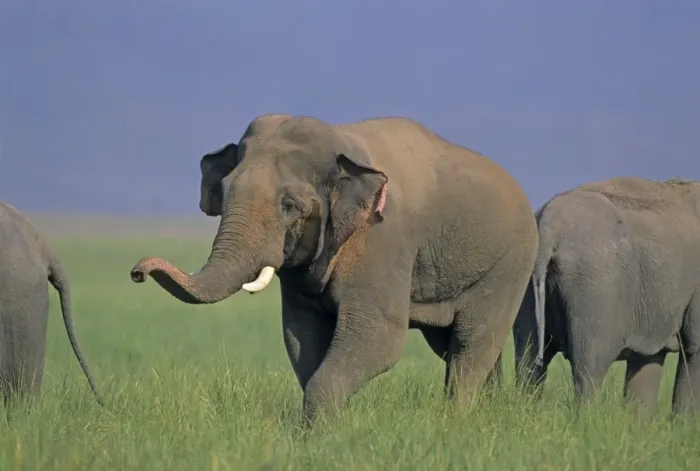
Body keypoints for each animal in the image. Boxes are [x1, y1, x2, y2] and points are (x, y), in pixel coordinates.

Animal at [130, 113, 539, 423]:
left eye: (290, 206)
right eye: (224, 192)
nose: (137, 272)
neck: (341, 143)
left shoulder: (383, 240)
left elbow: (378, 337)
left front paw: (318, 434)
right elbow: (301, 337)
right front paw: (329, 430)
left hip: (510, 262)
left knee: (472, 344)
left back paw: (456, 421)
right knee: (456, 346)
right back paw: (484, 415)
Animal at [508, 176, 700, 415]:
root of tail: (549, 225)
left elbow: (646, 363)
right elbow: (694, 351)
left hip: (526, 279)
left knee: (528, 363)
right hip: (595, 288)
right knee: (589, 370)